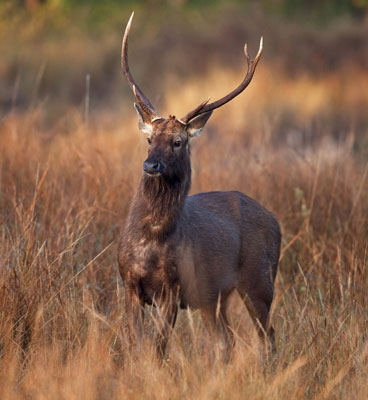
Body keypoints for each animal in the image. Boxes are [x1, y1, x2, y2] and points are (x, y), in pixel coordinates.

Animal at [118, 14, 282, 360]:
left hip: (260, 279)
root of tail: (275, 220)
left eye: (177, 142)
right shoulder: (129, 283)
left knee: (268, 335)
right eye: (149, 139)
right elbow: (136, 345)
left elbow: (158, 347)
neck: (150, 241)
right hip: (215, 296)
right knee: (226, 341)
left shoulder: (173, 287)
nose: (151, 165)